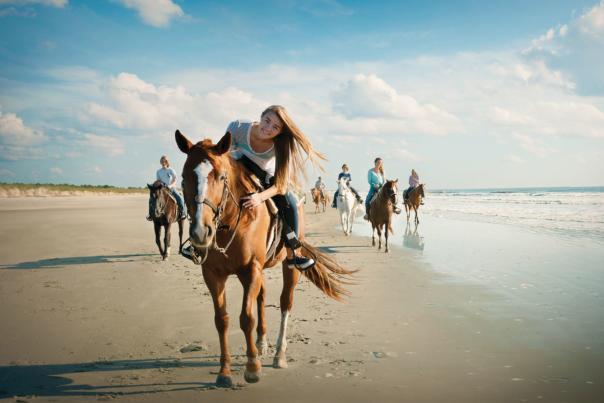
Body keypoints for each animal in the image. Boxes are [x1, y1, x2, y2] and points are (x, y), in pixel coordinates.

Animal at [175, 129, 354, 388]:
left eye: (221, 176)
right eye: (183, 176)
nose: (200, 231)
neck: (230, 222)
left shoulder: (252, 269)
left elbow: (246, 318)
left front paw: (252, 368)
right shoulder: (213, 274)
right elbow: (222, 320)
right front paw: (225, 372)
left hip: (289, 265)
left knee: (285, 302)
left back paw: (279, 354)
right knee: (262, 296)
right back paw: (261, 343)